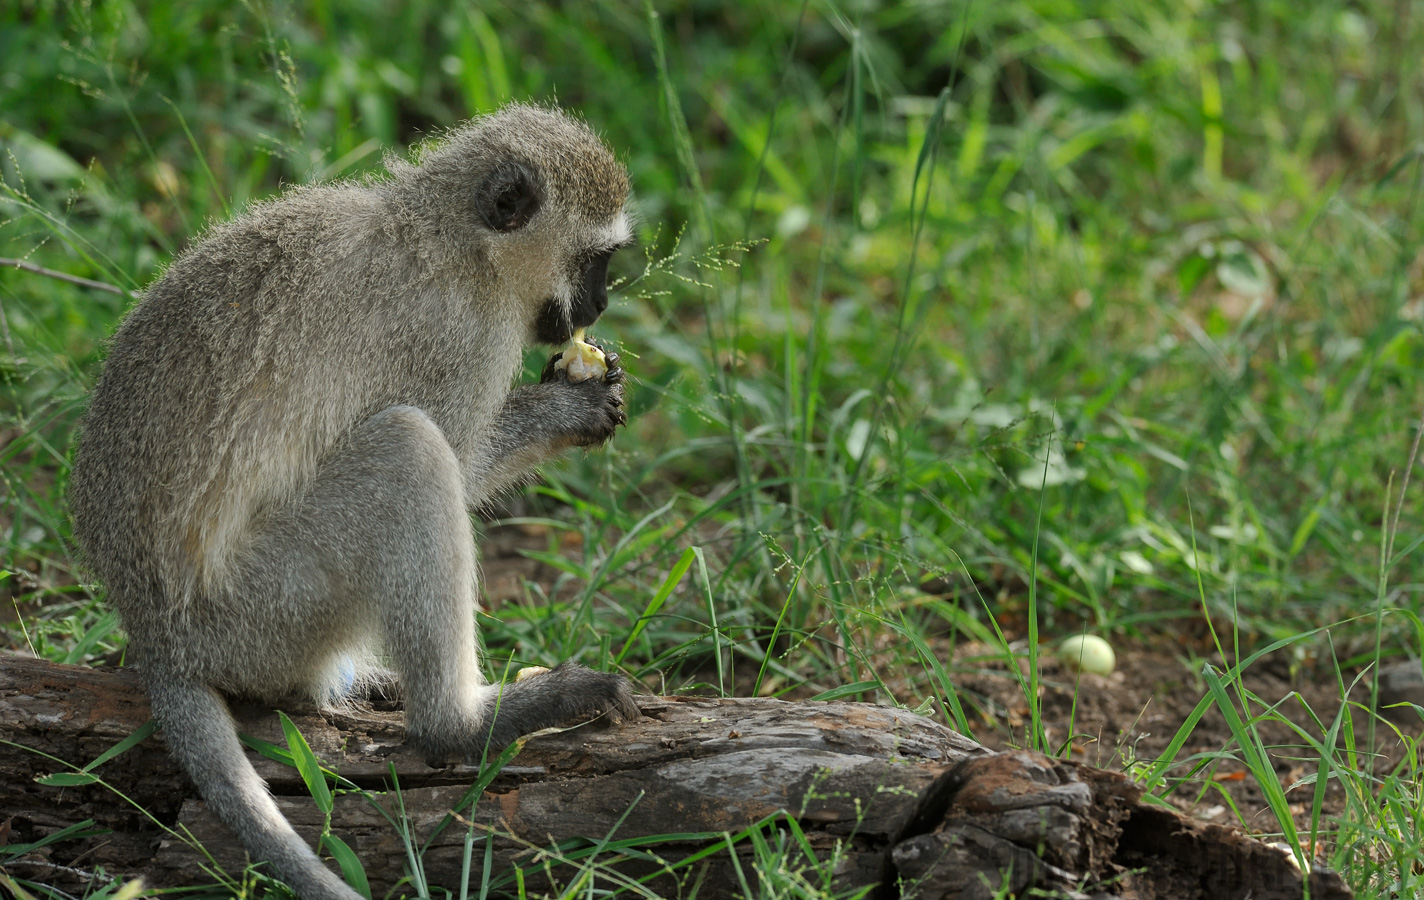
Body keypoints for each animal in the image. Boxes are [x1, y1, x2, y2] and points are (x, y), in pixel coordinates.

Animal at [70, 105, 640, 900]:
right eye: (596, 260)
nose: (602, 303)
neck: (450, 239)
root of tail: (157, 637)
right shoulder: (457, 337)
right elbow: (459, 460)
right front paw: (571, 406)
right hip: (264, 605)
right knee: (409, 450)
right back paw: (462, 725)